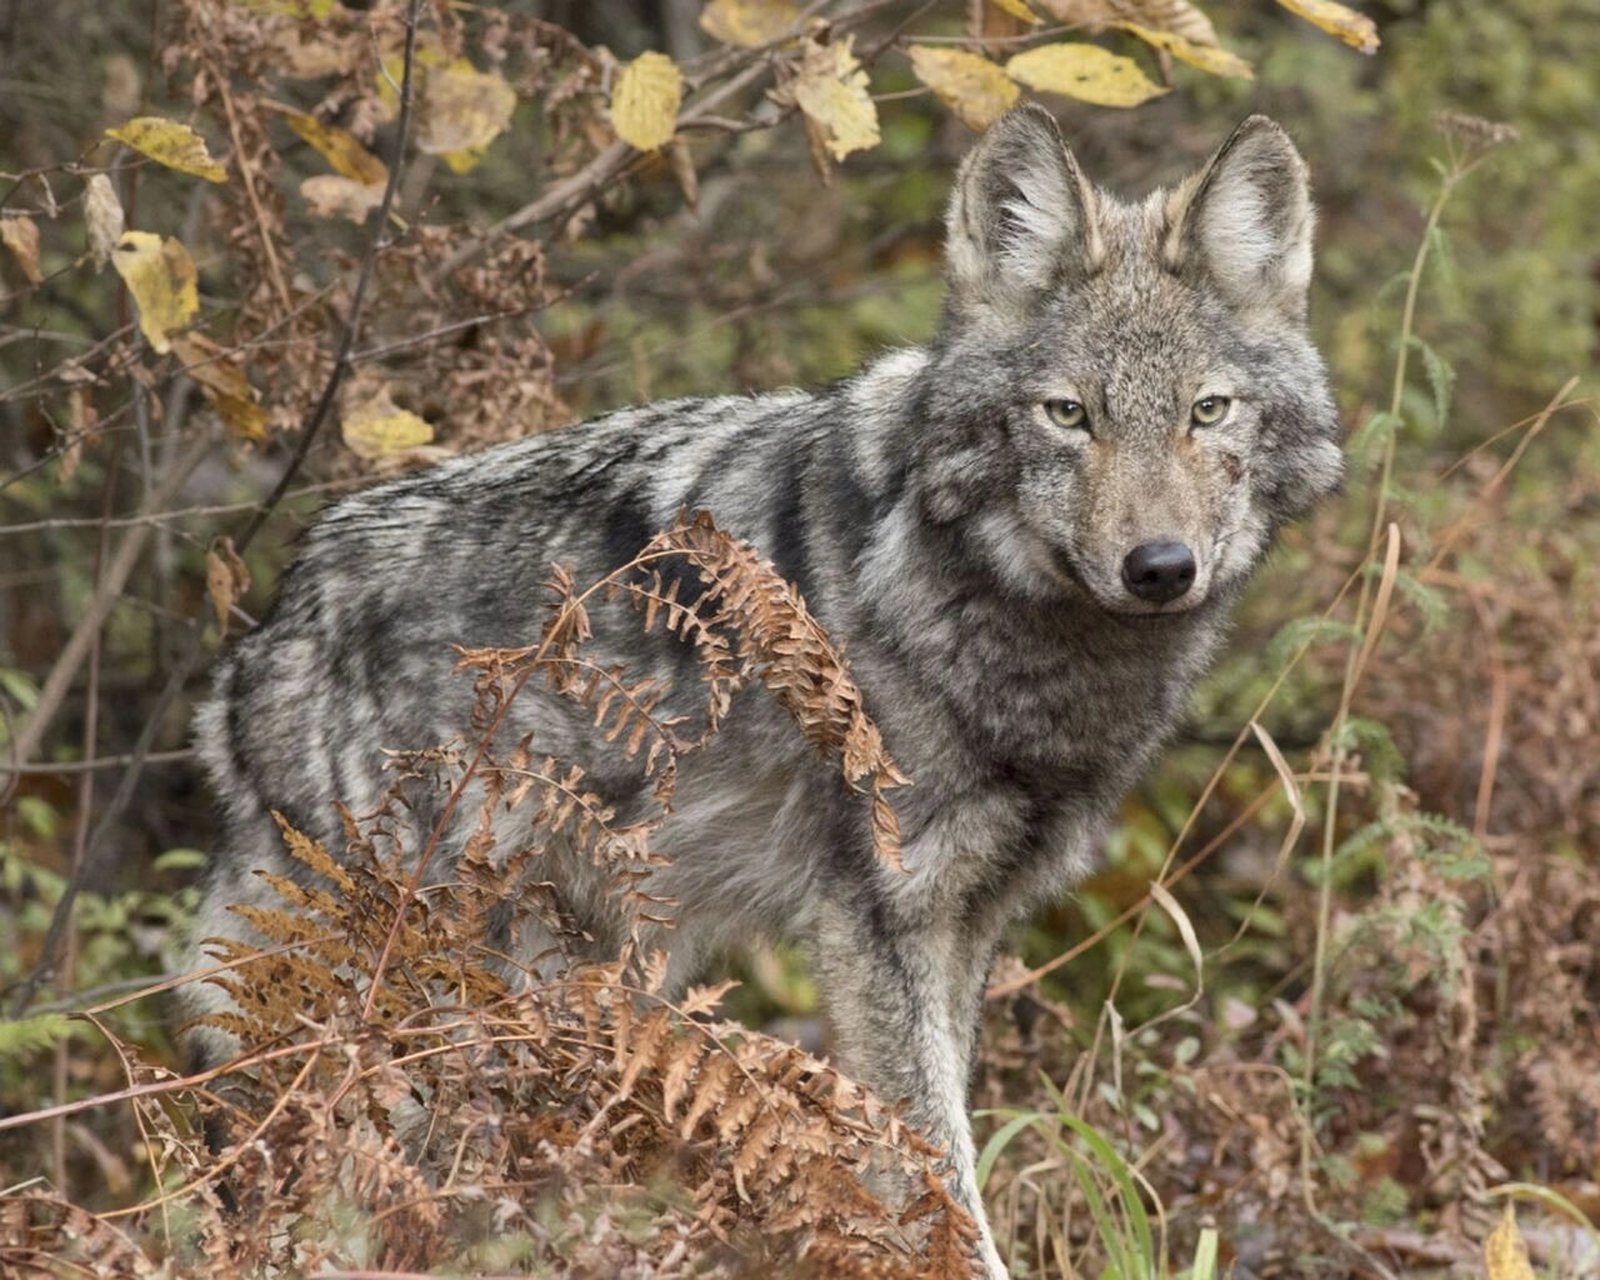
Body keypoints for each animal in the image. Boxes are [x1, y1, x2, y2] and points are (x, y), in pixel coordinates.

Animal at [181, 110, 1344, 1280]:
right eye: (1068, 415)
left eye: (1207, 411)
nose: (1161, 567)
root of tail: (262, 639)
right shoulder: (879, 922)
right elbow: (938, 1174)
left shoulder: (965, 924)